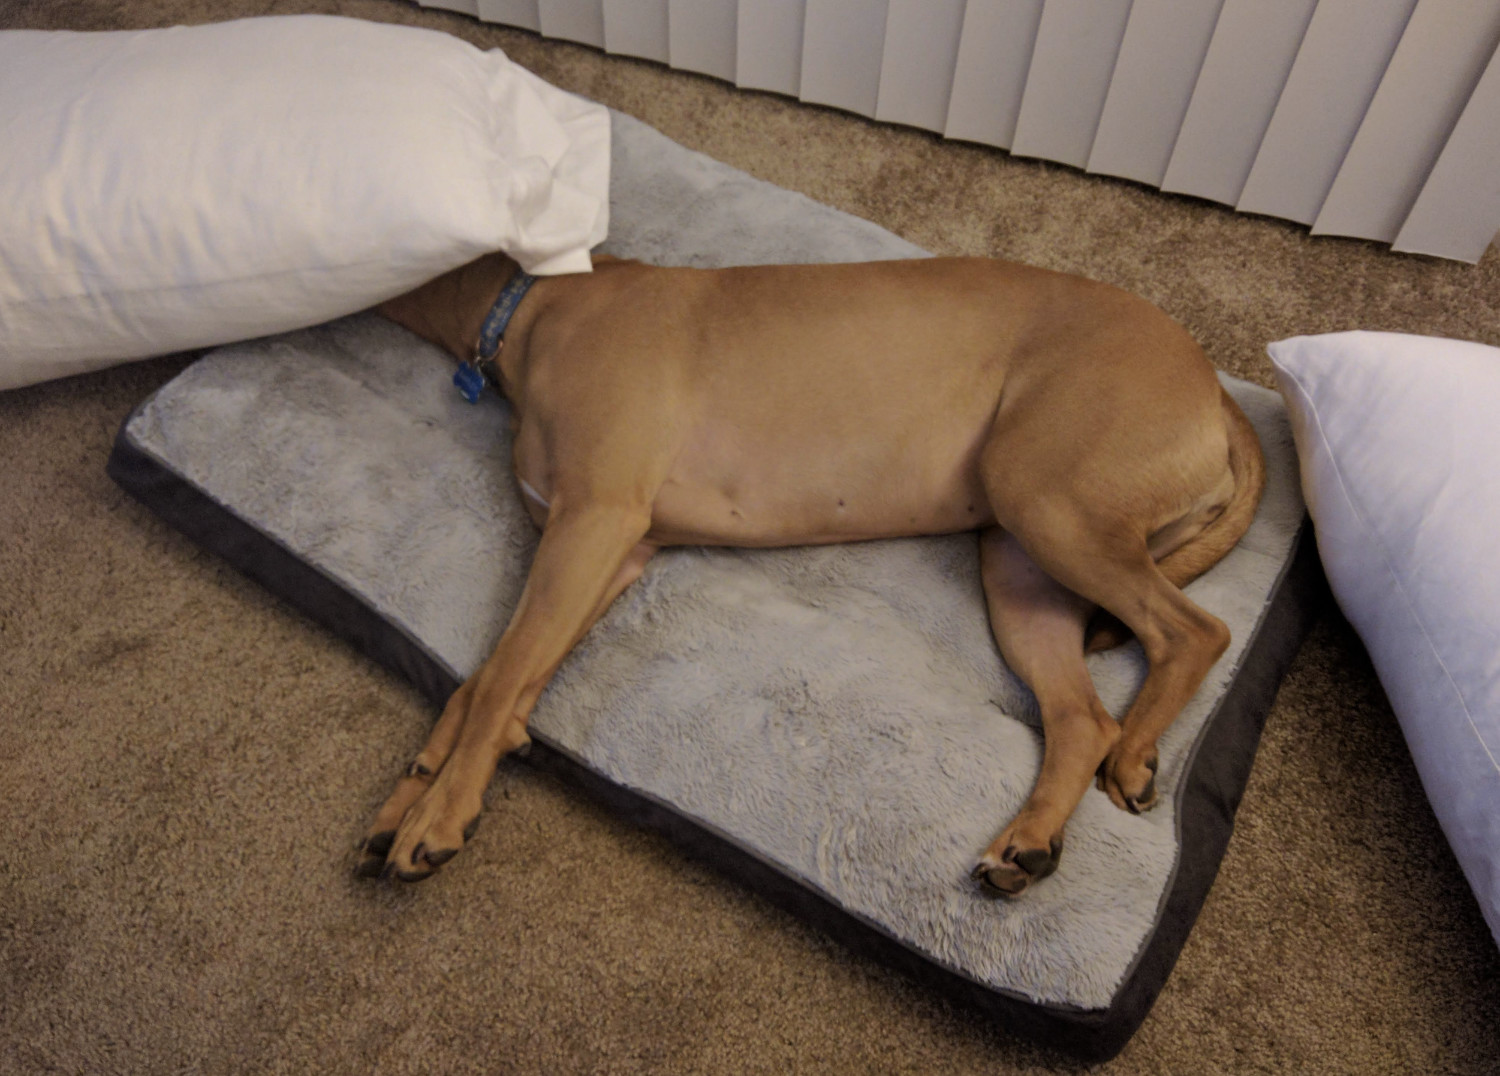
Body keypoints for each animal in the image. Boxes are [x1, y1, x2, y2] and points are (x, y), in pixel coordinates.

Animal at [357, 247, 1260, 894]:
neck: (533, 307)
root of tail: (1215, 386)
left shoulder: (595, 522)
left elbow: (501, 677)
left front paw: (439, 812)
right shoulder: (607, 550)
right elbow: (488, 679)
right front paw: (414, 791)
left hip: (1048, 501)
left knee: (1193, 632)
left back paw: (1137, 753)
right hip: (1021, 566)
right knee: (1080, 717)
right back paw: (1027, 841)